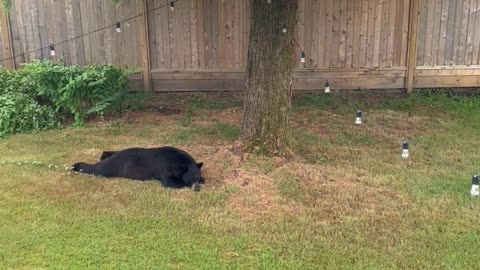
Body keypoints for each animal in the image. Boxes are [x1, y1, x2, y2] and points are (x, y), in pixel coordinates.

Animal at [71, 147, 204, 191]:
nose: (197, 188)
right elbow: (170, 182)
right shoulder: (166, 168)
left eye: (197, 178)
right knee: (97, 168)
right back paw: (76, 165)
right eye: (192, 179)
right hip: (110, 167)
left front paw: (203, 179)